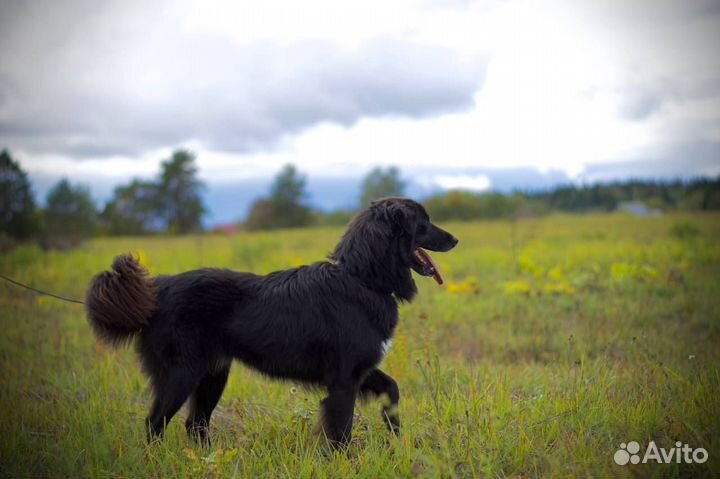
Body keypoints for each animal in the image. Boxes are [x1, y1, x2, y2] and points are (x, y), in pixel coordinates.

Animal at [84, 197, 456, 448]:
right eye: (424, 222)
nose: (456, 239)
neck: (360, 277)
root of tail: (156, 290)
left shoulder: (360, 370)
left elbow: (392, 389)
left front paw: (394, 432)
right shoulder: (344, 379)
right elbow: (340, 431)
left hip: (212, 376)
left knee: (195, 425)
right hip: (180, 375)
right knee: (154, 425)